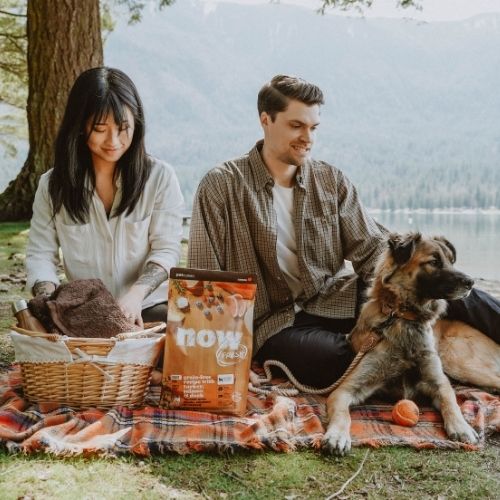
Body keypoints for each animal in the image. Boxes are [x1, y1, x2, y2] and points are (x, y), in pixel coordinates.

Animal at [324, 232, 480, 456]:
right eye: (434, 262)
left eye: (451, 261)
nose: (471, 282)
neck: (403, 318)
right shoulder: (346, 388)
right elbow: (342, 414)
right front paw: (337, 435)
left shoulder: (438, 381)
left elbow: (451, 402)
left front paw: (462, 427)